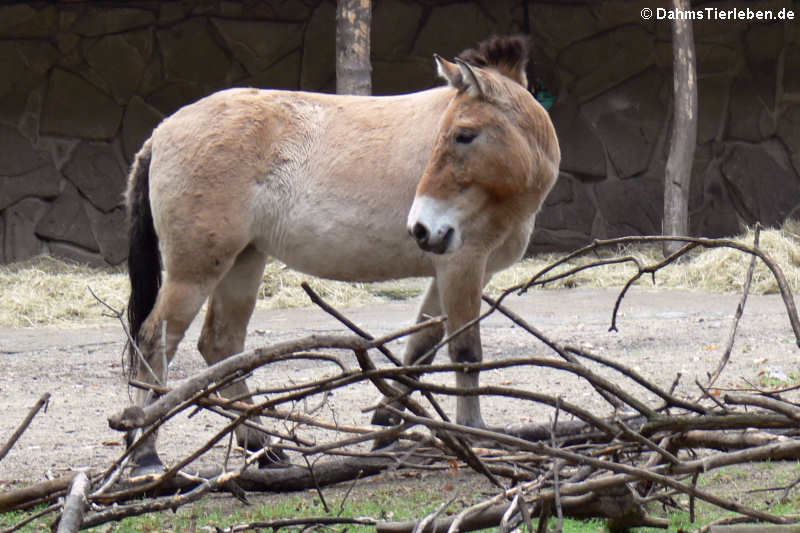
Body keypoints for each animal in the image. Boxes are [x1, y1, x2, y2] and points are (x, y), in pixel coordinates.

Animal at [126, 36, 564, 474]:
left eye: (463, 135)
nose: (420, 229)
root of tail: (160, 133)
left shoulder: (455, 270)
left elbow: (421, 346)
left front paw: (389, 425)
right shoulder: (462, 264)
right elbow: (465, 352)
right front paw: (472, 432)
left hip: (243, 263)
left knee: (220, 345)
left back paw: (264, 448)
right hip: (194, 273)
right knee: (155, 341)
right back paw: (146, 454)